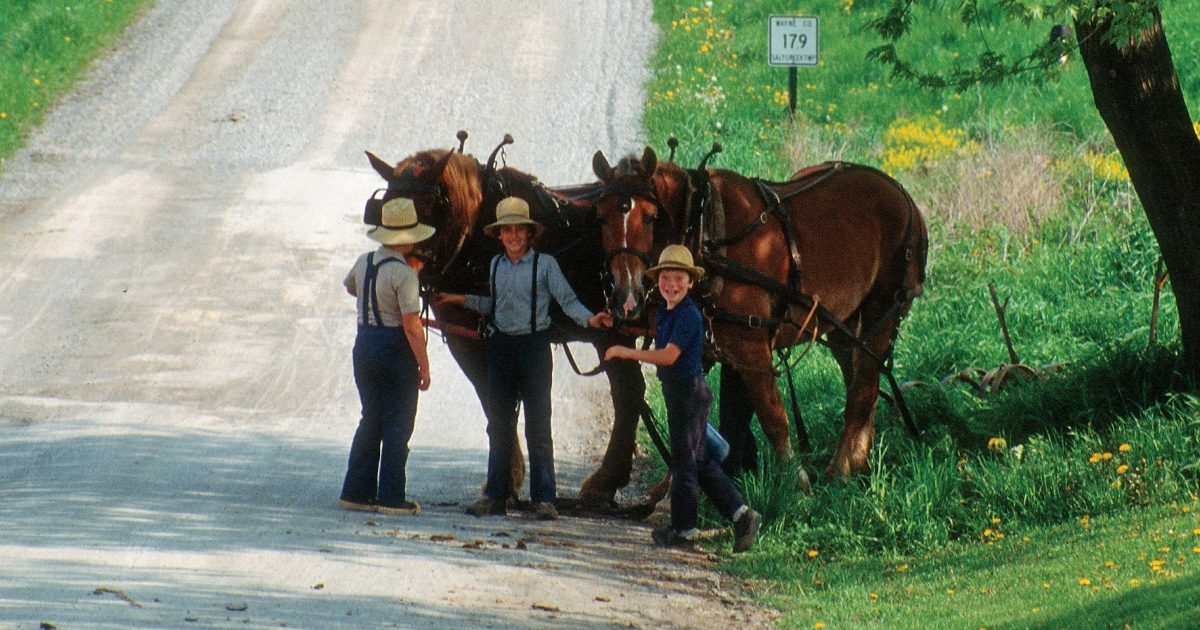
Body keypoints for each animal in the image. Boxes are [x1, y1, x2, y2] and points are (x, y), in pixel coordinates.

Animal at [590, 145, 926, 475]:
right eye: (601, 218)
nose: (626, 297)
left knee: (862, 392)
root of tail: (905, 197)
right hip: (846, 327)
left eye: (649, 217)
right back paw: (858, 462)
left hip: (881, 312)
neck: (704, 231)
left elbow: (773, 416)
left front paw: (795, 482)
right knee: (861, 384)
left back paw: (839, 470)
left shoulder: (750, 347)